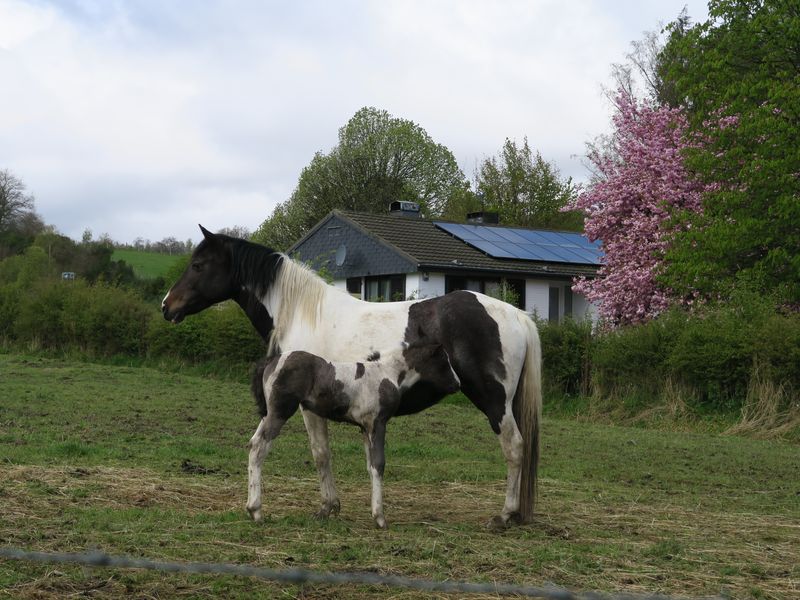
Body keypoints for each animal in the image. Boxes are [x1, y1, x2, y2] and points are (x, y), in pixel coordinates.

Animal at [247, 340, 460, 528]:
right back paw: (255, 510)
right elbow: (379, 464)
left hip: (268, 414)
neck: (386, 373)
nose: (457, 384)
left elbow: (370, 466)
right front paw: (379, 517)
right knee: (259, 447)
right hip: (280, 412)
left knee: (253, 443)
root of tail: (271, 361)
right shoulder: (377, 423)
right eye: (444, 361)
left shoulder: (365, 428)